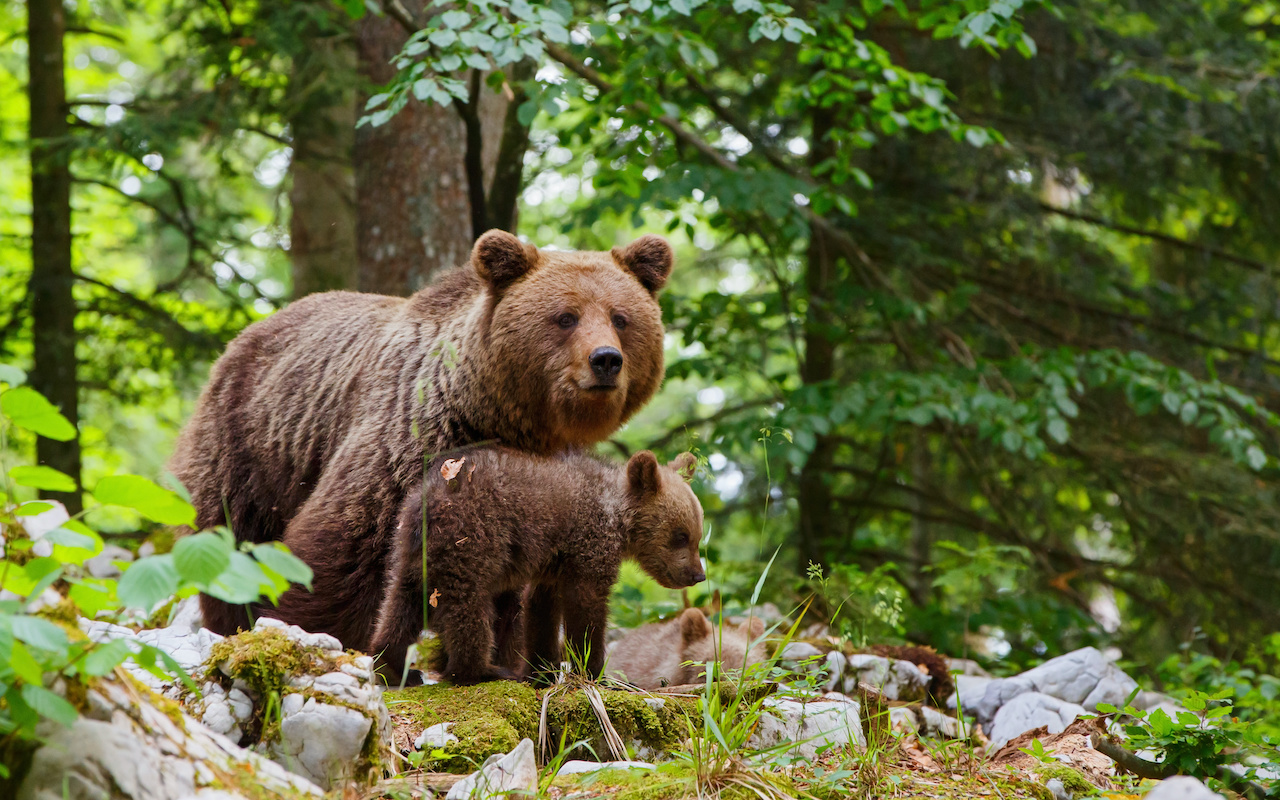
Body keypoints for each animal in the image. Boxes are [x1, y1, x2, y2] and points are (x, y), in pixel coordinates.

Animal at [168, 230, 675, 636]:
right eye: (566, 316)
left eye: (621, 317)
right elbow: (344, 545)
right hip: (251, 442)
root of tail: (249, 329)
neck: (502, 417)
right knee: (231, 538)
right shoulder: (411, 440)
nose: (605, 359)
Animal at [259, 447, 706, 684]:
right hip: (471, 544)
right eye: (680, 535)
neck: (617, 517)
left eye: (698, 533)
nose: (697, 574)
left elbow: (541, 611)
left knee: (398, 607)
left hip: (409, 557)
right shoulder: (587, 547)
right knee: (469, 611)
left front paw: (542, 668)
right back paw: (483, 668)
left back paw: (395, 665)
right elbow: (587, 607)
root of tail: (427, 503)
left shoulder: (551, 564)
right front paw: (591, 669)